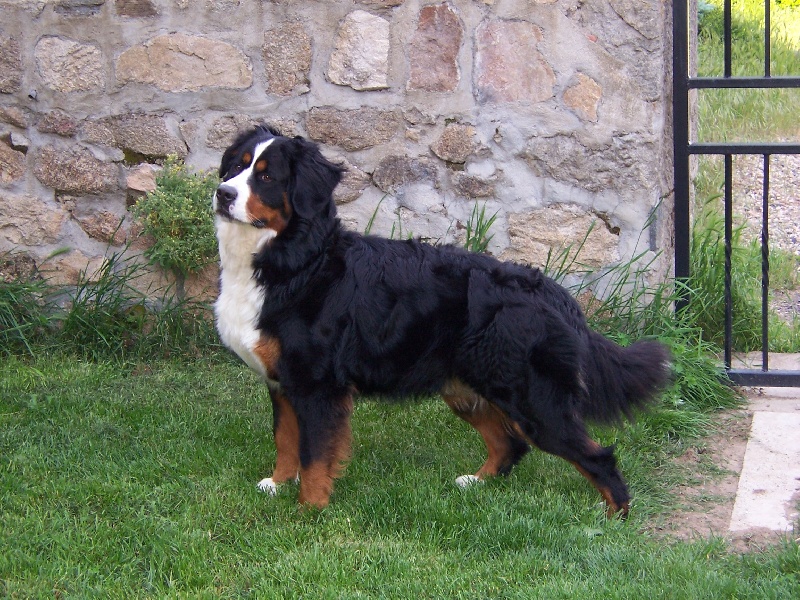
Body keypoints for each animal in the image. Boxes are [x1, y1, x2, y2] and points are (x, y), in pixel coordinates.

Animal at [213, 125, 671, 515]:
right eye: (236, 166)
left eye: (267, 177)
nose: (221, 193)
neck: (294, 263)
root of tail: (553, 293)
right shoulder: (282, 382)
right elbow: (286, 439)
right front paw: (277, 484)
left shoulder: (316, 385)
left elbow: (314, 454)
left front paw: (309, 510)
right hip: (467, 386)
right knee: (510, 444)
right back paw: (478, 482)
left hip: (535, 400)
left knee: (596, 455)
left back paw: (615, 515)